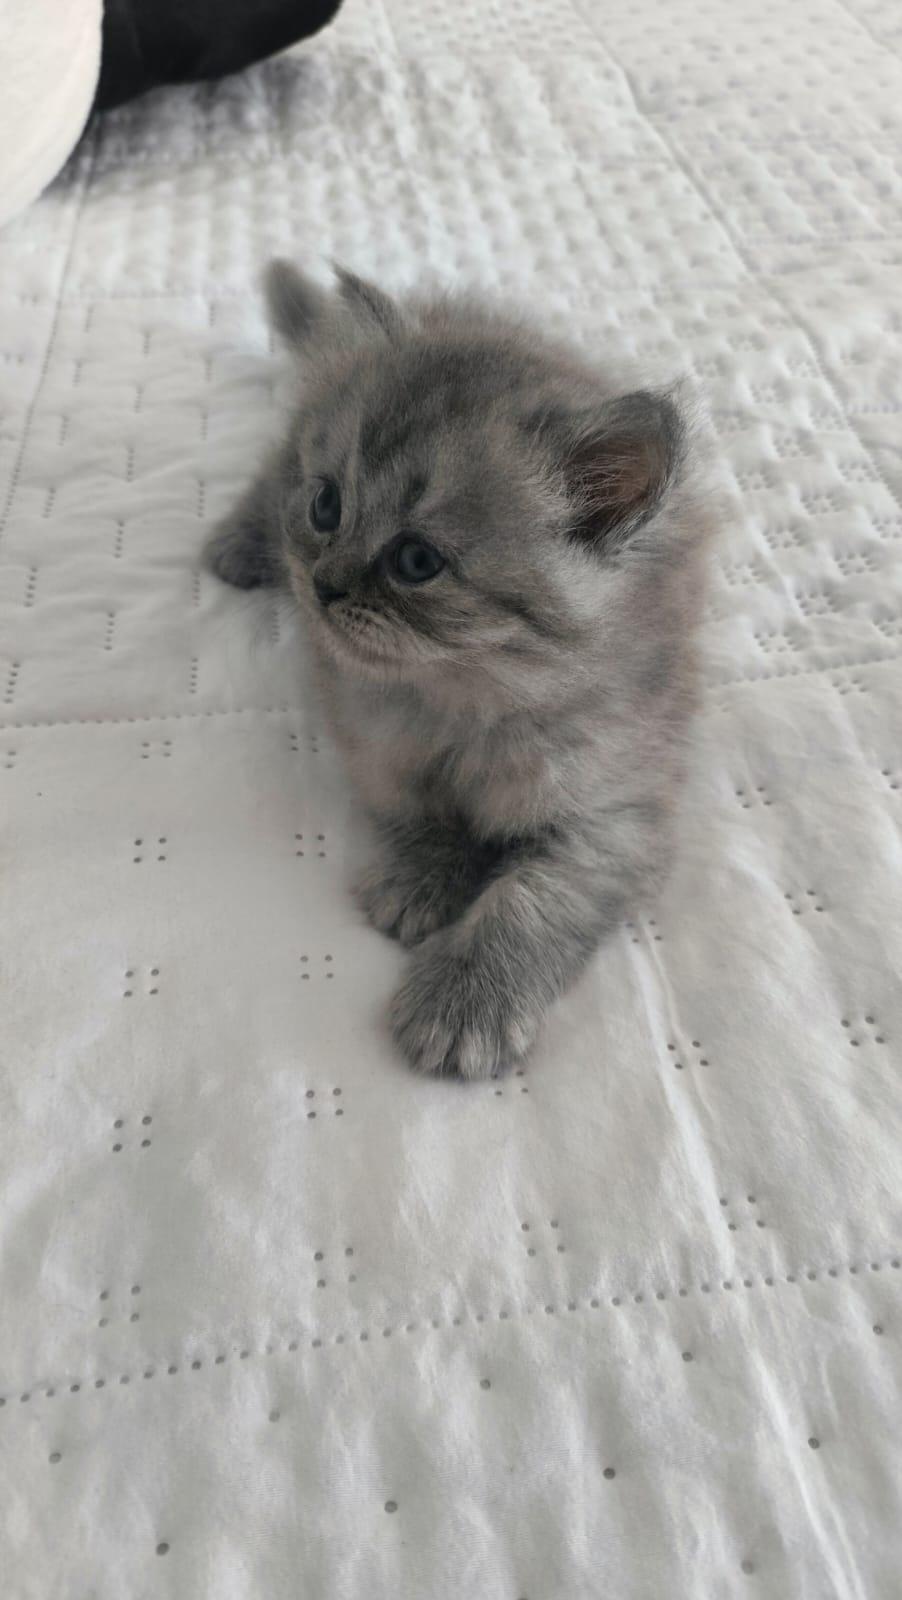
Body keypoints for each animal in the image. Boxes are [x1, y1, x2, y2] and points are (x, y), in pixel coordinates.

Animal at [205, 260, 709, 1080]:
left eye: (417, 561)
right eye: (327, 507)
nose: (324, 585)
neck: (470, 705)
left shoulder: (620, 814)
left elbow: (535, 899)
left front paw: (466, 1000)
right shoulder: (374, 744)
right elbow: (420, 808)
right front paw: (425, 878)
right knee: (276, 462)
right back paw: (242, 543)